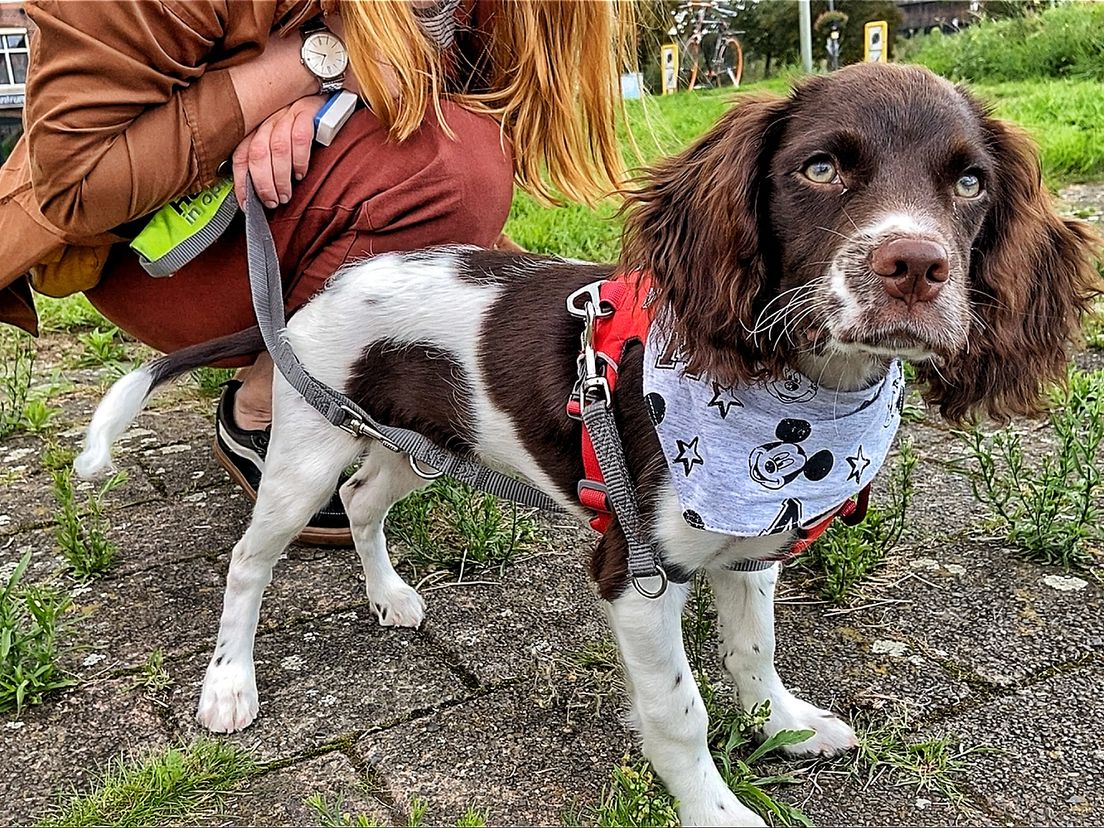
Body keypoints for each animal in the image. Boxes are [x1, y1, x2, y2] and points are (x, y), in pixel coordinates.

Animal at [75, 66, 1095, 828]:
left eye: (969, 184)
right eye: (818, 169)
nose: (915, 267)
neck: (797, 396)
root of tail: (308, 297)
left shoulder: (752, 549)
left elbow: (754, 652)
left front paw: (786, 726)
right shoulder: (636, 572)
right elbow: (679, 711)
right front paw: (716, 811)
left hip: (419, 440)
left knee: (363, 503)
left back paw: (390, 596)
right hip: (303, 455)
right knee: (250, 560)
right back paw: (230, 685)